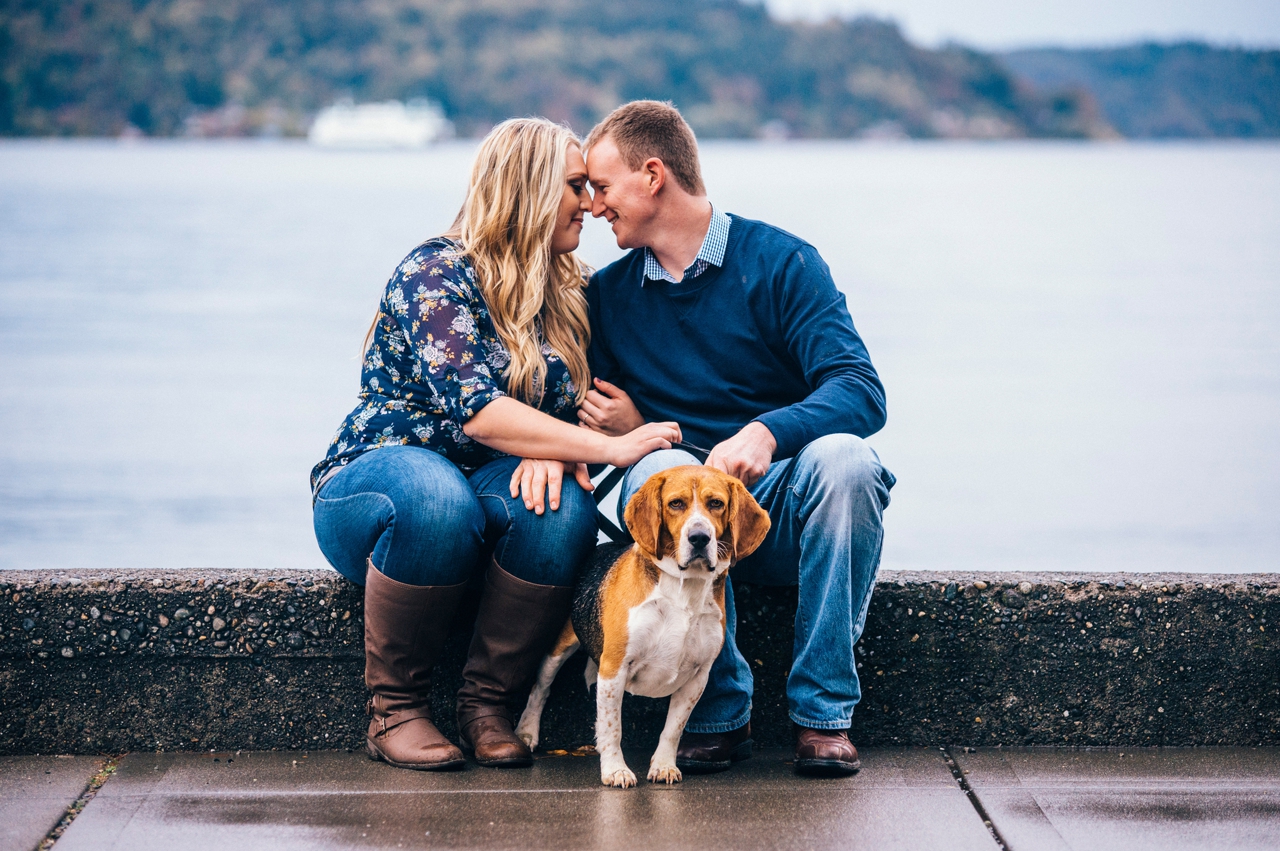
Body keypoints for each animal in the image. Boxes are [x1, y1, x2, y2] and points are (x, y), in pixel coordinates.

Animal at [515, 465, 771, 787]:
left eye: (716, 503)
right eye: (676, 503)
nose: (699, 538)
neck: (684, 588)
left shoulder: (698, 677)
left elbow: (673, 729)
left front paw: (663, 765)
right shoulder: (614, 668)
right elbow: (613, 727)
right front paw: (615, 770)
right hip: (559, 650)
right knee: (541, 689)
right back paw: (527, 731)